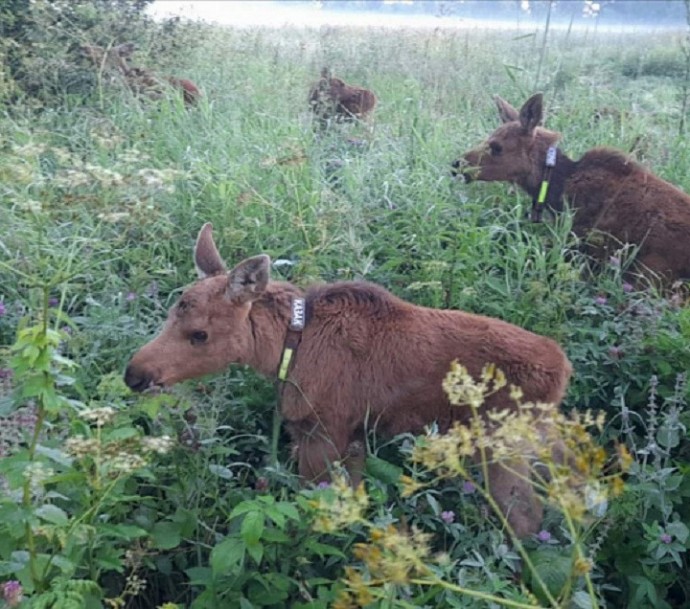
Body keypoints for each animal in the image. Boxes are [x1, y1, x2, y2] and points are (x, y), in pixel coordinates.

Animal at [123, 224, 568, 536]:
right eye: (171, 312)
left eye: (199, 334)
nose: (135, 374)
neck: (286, 350)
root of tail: (564, 370)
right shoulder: (350, 436)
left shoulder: (323, 430)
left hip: (501, 442)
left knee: (527, 516)